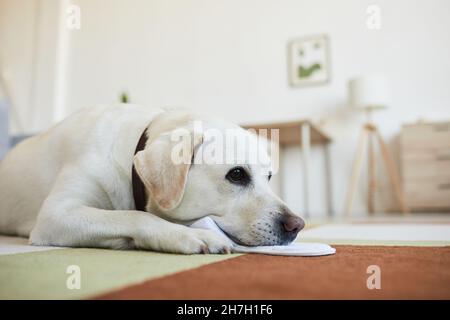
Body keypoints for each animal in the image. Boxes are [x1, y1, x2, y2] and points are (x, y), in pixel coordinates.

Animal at [0, 106, 304, 254]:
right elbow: (135, 216)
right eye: (237, 174)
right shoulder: (56, 215)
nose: (297, 225)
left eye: (269, 176)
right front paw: (188, 234)